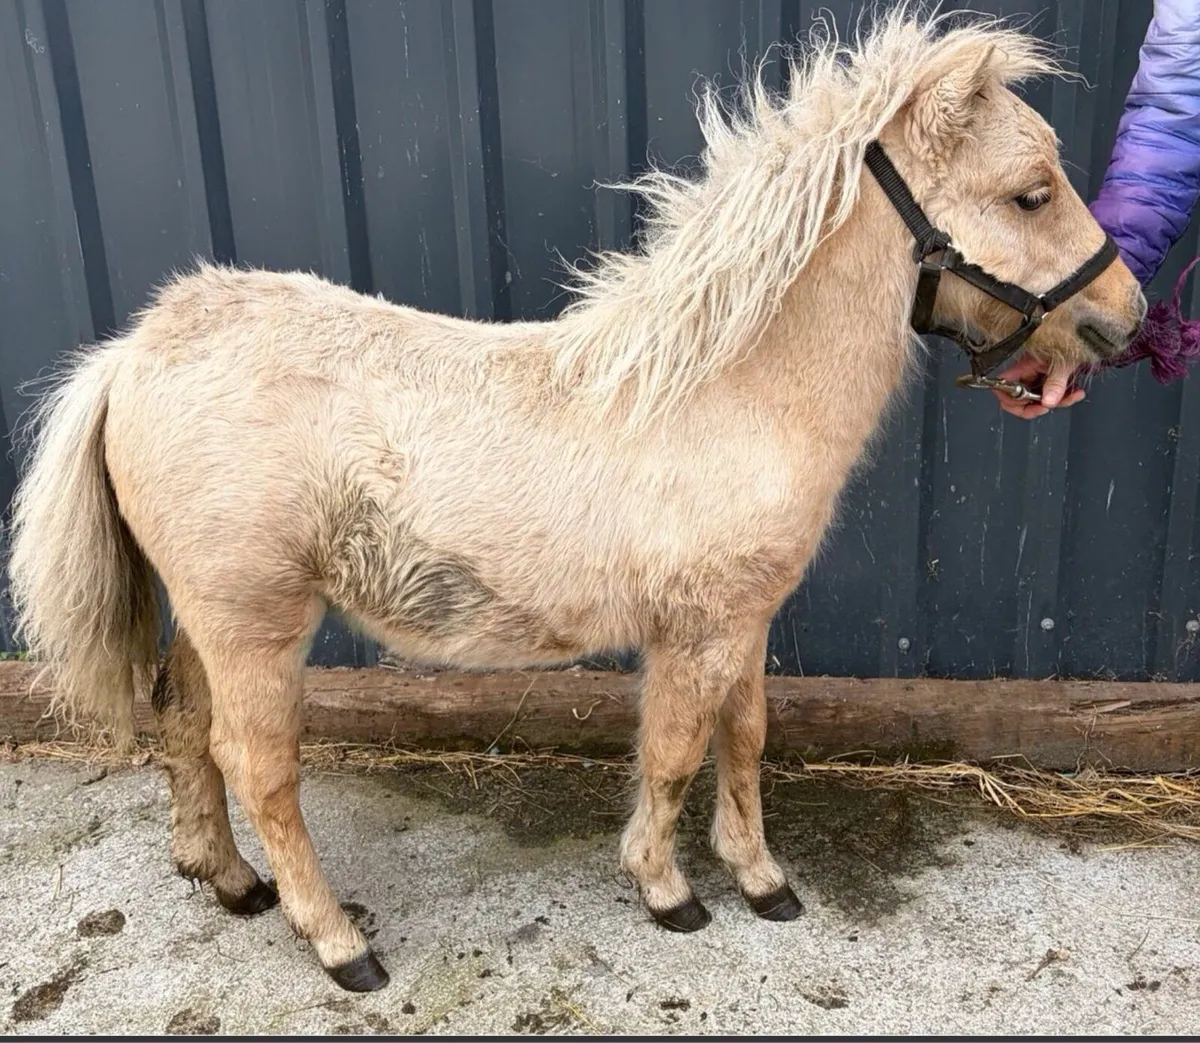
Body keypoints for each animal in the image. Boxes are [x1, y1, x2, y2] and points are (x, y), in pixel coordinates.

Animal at [10, 8, 1145, 992]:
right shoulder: (693, 633)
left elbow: (746, 736)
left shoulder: (743, 621)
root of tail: (134, 351)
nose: (1124, 317)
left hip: (214, 618)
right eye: (1031, 192)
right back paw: (338, 943)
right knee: (259, 766)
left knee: (184, 722)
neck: (725, 389)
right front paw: (669, 890)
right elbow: (677, 753)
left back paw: (228, 878)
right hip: (257, 627)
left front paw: (763, 878)